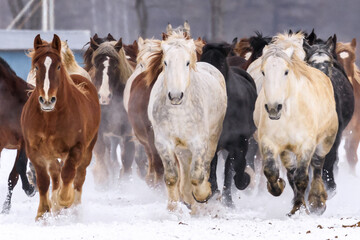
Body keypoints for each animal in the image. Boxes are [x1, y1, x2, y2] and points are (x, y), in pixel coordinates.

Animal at [21, 34, 100, 220]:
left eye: (58, 66)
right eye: (36, 67)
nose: (47, 100)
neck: (50, 119)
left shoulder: (76, 149)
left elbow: (68, 174)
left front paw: (63, 200)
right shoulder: (36, 152)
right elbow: (44, 181)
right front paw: (43, 212)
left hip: (87, 150)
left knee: (78, 176)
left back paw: (74, 208)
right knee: (56, 174)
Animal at [146, 32, 225, 214]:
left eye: (187, 62)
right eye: (165, 62)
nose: (175, 96)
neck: (179, 112)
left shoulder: (199, 142)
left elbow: (197, 176)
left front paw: (204, 195)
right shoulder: (163, 142)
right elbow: (171, 178)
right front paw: (173, 209)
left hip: (212, 139)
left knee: (205, 167)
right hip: (182, 150)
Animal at [200, 42, 258, 206]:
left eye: (220, 63)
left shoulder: (239, 142)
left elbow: (235, 167)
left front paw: (245, 180)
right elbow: (212, 168)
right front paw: (212, 193)